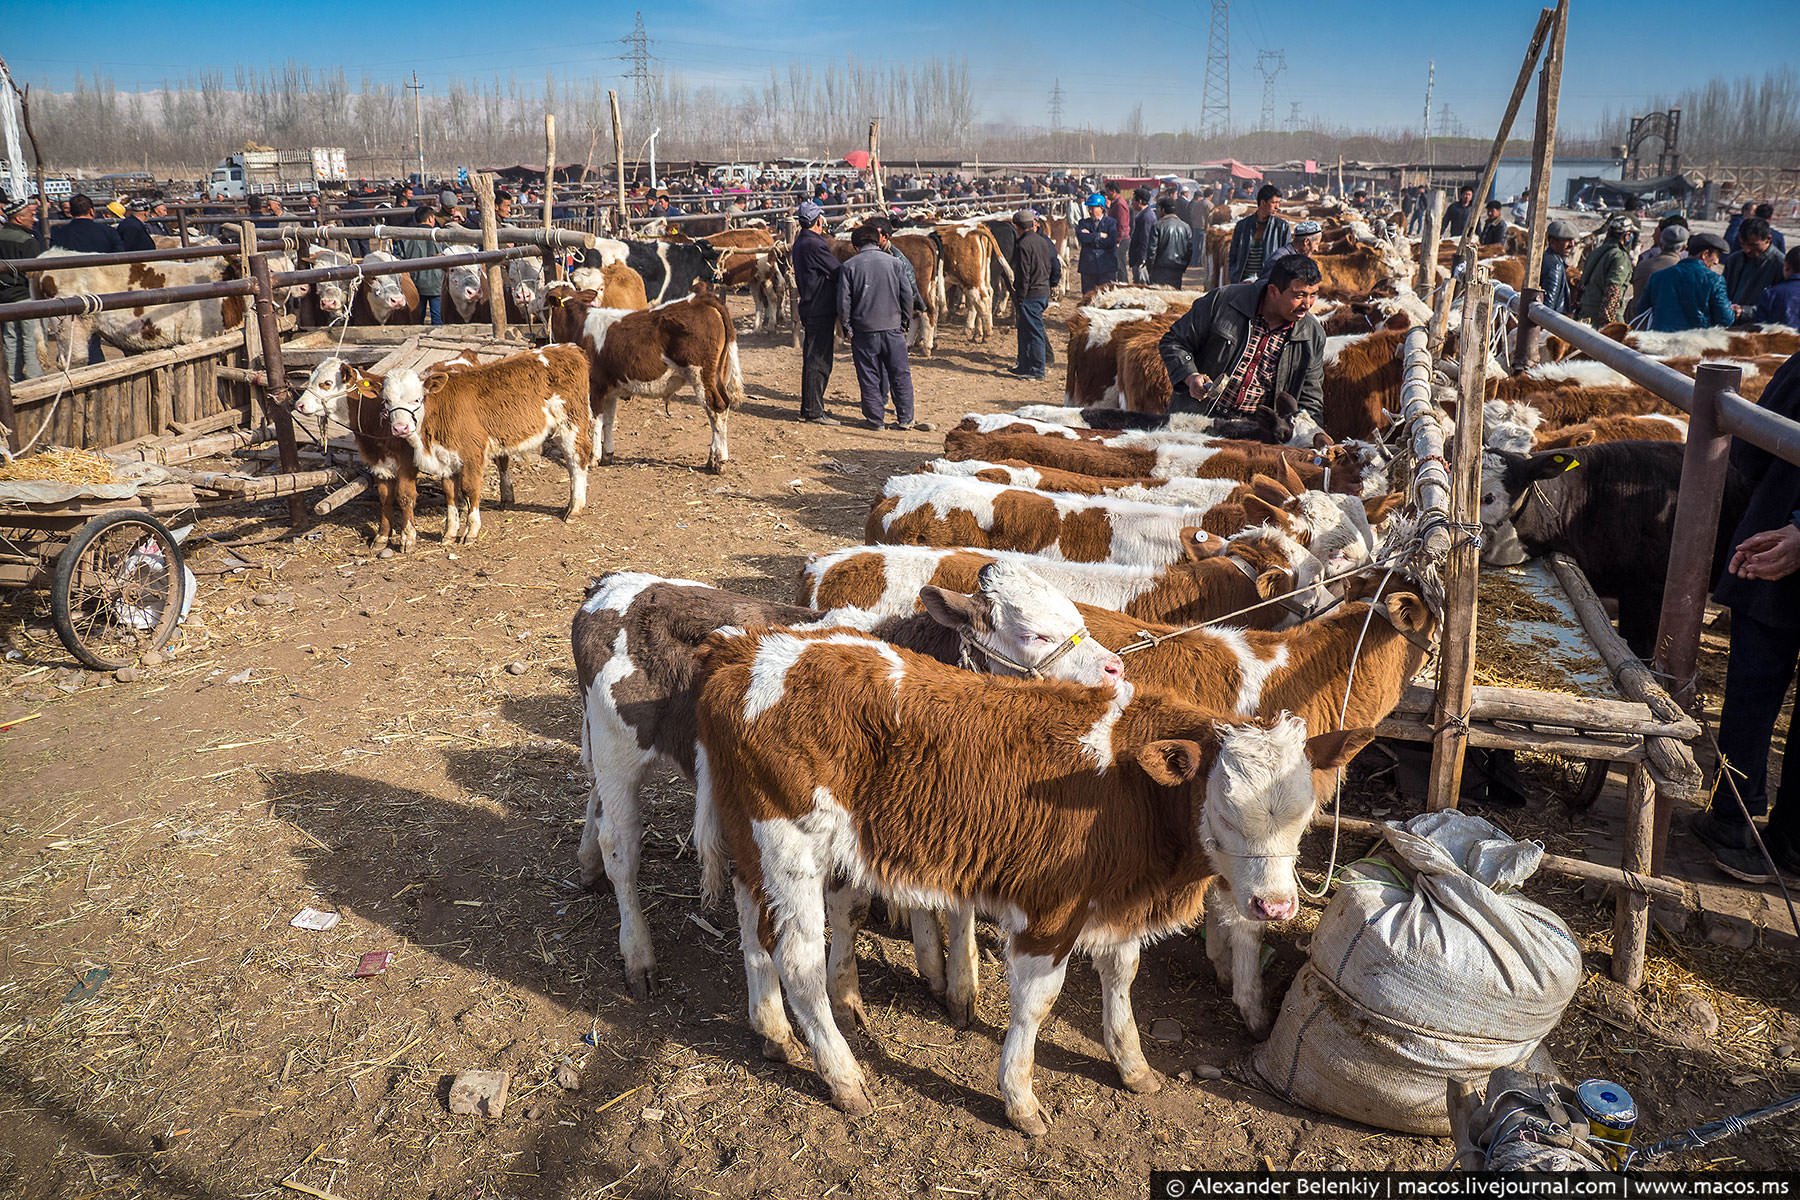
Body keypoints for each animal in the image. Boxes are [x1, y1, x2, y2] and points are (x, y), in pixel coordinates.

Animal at [383, 340, 594, 543]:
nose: (400, 428)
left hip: (570, 422)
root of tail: (568, 347)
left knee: (577, 458)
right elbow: (450, 493)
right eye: (386, 401)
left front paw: (471, 531)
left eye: (417, 399)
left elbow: (469, 489)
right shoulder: (445, 457)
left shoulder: (472, 453)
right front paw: (449, 533)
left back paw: (575, 507)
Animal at [572, 564, 1123, 1007]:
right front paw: (856, 990)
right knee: (621, 847)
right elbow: (858, 907)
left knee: (595, 801)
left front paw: (949, 977)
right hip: (619, 751)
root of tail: (611, 586)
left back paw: (587, 863)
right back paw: (637, 952)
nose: (1116, 667)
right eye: (1035, 634)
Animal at [694, 629, 1368, 1137]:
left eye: (1304, 812)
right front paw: (1019, 1098)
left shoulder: (1117, 900)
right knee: (799, 960)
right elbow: (1038, 1002)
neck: (1132, 788)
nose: (1273, 905)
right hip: (787, 845)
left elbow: (1122, 977)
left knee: (753, 930)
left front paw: (1132, 1065)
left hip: (753, 846)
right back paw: (844, 1078)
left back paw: (772, 1031)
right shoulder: (1051, 910)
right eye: (1226, 812)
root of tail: (748, 653)